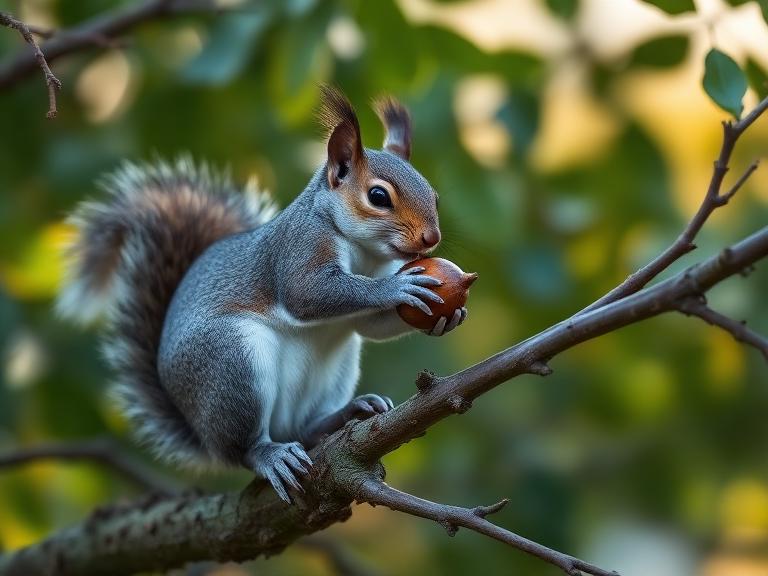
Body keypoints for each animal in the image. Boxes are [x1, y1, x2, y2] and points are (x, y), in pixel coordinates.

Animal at [57, 86, 467, 502]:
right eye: (379, 196)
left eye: (433, 194)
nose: (431, 237)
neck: (365, 253)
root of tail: (203, 433)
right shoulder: (299, 249)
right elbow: (307, 293)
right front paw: (395, 288)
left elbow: (370, 325)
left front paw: (447, 318)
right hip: (232, 363)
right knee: (243, 448)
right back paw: (269, 455)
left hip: (334, 369)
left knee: (305, 429)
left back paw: (347, 413)